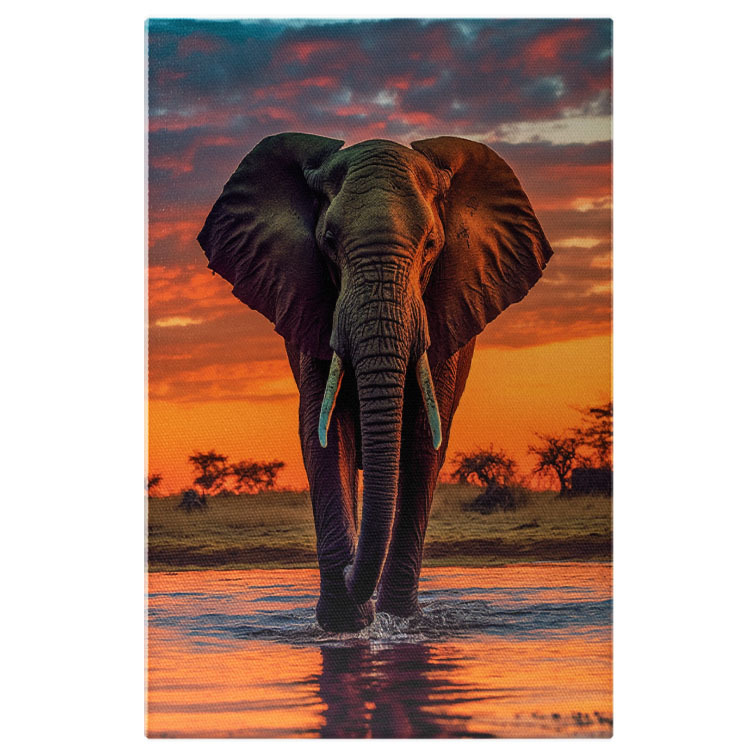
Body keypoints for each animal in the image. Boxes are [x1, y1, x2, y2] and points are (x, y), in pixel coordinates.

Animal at [197, 133, 553, 632]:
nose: (348, 569)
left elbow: (423, 442)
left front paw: (400, 623)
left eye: (431, 244)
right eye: (328, 242)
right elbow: (324, 434)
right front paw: (345, 625)